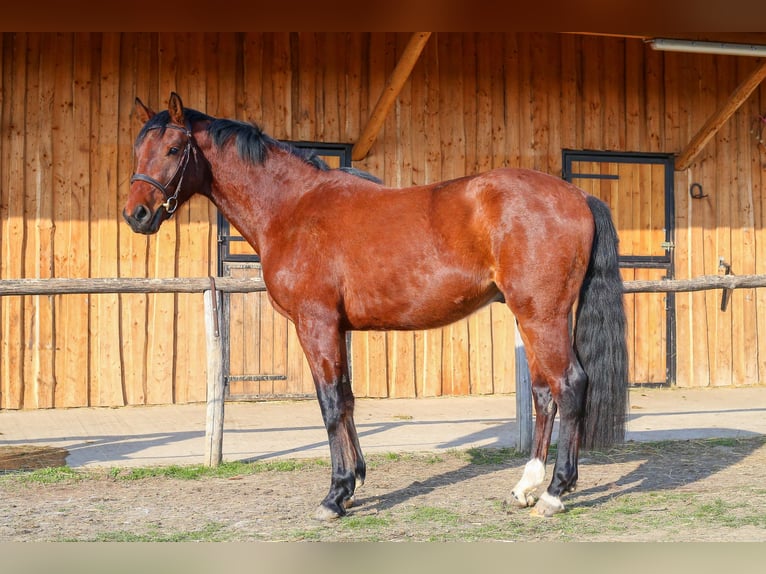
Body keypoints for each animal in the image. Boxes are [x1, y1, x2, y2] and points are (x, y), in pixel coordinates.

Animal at [124, 92, 628, 519]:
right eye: (137, 149)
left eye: (173, 149)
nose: (136, 215)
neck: (293, 208)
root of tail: (579, 195)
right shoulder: (337, 328)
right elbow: (347, 399)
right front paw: (354, 482)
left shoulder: (316, 324)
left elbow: (329, 403)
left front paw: (334, 495)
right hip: (533, 317)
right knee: (545, 394)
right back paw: (527, 486)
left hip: (542, 315)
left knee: (571, 385)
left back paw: (555, 493)